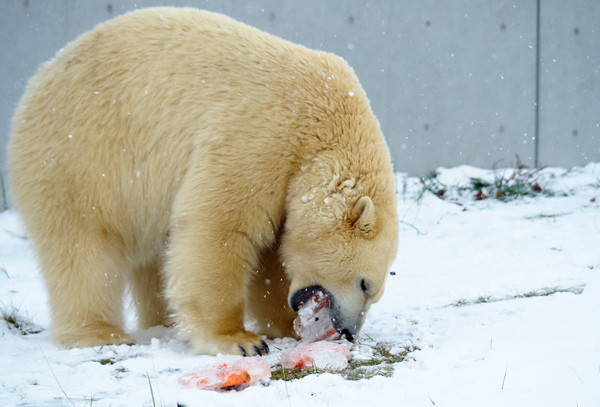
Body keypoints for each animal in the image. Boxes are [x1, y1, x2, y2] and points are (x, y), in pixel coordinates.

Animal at [8, 7, 398, 356]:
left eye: (375, 290)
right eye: (365, 283)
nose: (348, 332)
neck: (324, 122)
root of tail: (38, 80)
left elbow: (270, 257)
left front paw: (285, 325)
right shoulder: (261, 137)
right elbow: (221, 227)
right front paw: (239, 340)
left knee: (154, 255)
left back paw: (163, 322)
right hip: (82, 154)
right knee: (84, 246)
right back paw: (98, 333)